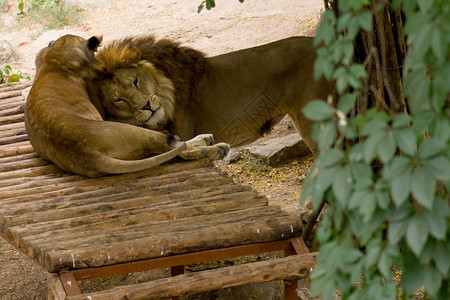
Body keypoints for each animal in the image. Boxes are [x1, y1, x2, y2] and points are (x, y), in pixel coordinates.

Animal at [23, 34, 227, 177]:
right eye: (120, 100)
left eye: (136, 82)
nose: (147, 106)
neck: (54, 60)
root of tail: (87, 153)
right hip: (136, 132)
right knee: (174, 145)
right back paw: (214, 147)